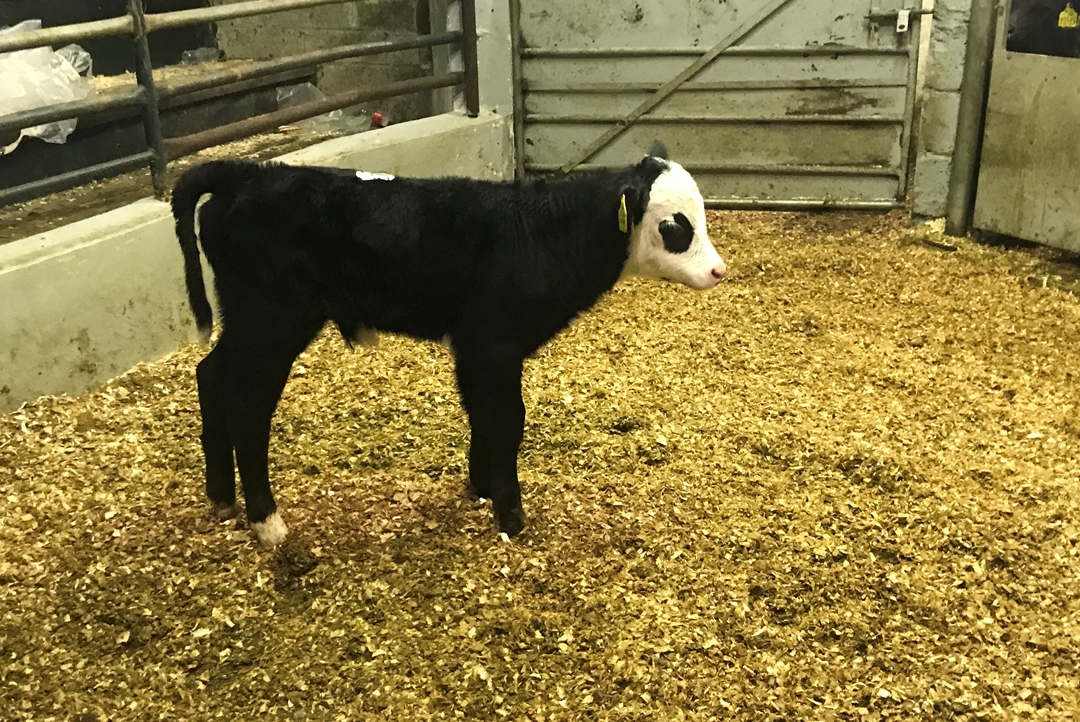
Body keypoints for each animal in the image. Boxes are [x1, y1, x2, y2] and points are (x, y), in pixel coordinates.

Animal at [171, 143, 727, 547]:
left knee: (210, 375)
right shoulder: (492, 344)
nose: (718, 271)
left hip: (248, 321)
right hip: (272, 320)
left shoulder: (477, 351)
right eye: (675, 225)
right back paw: (267, 522)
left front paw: (480, 489)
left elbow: (483, 415)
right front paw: (511, 516)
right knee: (247, 404)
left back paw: (222, 498)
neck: (544, 233)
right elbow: (506, 421)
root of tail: (248, 173)